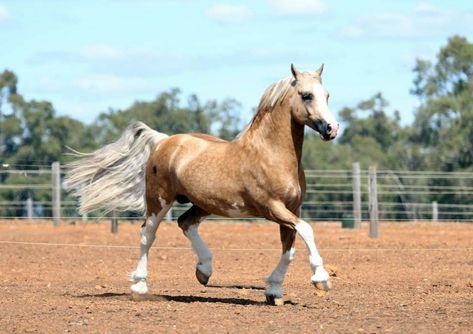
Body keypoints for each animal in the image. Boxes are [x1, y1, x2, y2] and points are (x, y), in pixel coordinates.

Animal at [67, 63, 340, 306]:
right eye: (306, 95)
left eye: (327, 95)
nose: (332, 128)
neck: (271, 154)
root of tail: (164, 141)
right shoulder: (272, 208)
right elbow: (307, 230)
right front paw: (321, 279)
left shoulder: (291, 209)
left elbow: (289, 250)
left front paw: (273, 291)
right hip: (159, 200)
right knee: (147, 234)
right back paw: (140, 287)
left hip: (204, 203)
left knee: (185, 223)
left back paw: (204, 270)